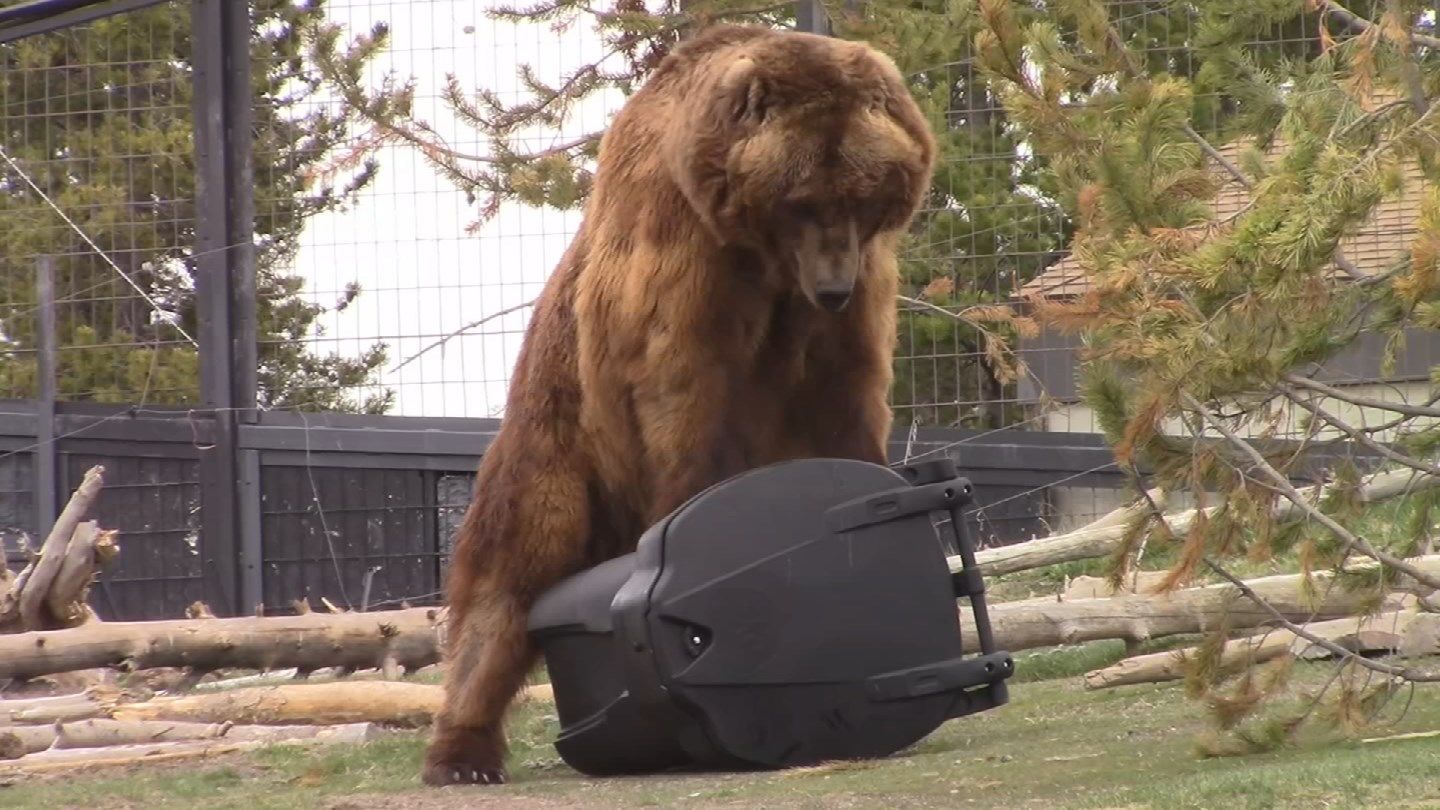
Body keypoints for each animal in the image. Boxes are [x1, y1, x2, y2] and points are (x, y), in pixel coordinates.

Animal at [422, 23, 937, 787]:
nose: (833, 287)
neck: (764, 254)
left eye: (861, 195)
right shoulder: (685, 265)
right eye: (805, 198)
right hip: (559, 435)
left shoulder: (851, 308)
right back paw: (463, 751)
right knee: (512, 568)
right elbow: (684, 404)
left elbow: (847, 403)